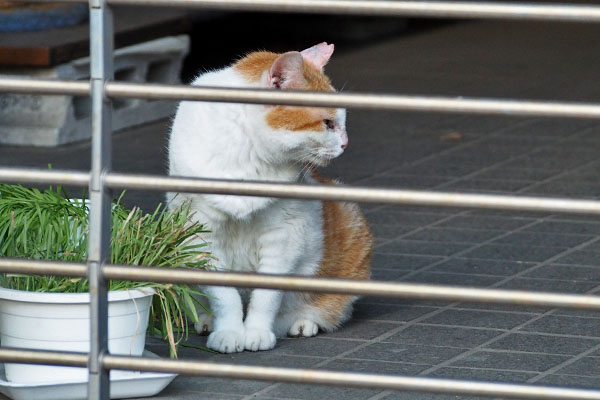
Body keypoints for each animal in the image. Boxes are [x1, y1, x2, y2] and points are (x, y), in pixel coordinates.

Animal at [168, 43, 370, 354]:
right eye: (327, 123)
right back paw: (207, 321)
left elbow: (266, 297)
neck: (246, 153)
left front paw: (256, 332)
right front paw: (228, 332)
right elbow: (224, 296)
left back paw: (301, 322)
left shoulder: (282, 237)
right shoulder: (202, 234)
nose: (346, 144)